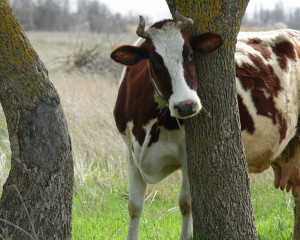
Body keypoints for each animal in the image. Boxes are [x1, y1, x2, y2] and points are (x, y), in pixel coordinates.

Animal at [111, 12, 300, 240]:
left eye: (191, 55)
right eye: (155, 63)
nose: (186, 105)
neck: (146, 124)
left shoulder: (187, 154)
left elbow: (186, 203)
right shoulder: (129, 151)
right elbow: (134, 206)